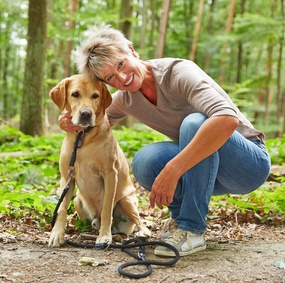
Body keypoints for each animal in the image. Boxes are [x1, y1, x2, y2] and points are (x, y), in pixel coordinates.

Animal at [48, 74, 151, 247]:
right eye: (75, 94)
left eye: (95, 96)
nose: (86, 114)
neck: (83, 137)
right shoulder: (66, 176)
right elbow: (61, 208)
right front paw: (57, 234)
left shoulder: (110, 174)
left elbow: (107, 209)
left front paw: (104, 236)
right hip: (78, 201)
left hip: (127, 200)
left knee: (137, 219)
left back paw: (141, 231)